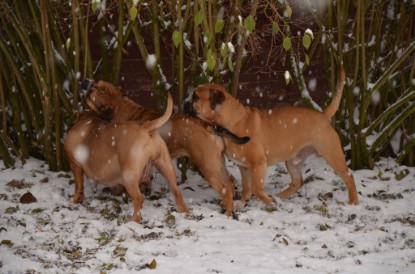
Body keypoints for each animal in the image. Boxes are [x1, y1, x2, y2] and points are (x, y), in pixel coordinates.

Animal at [64, 93, 188, 222]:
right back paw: (184, 212)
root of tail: (145, 127)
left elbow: (79, 185)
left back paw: (133, 220)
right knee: (176, 191)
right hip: (166, 166)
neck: (87, 119)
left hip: (129, 175)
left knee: (139, 198)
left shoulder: (75, 164)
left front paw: (75, 199)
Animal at [83, 80, 249, 215]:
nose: (88, 83)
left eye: (96, 91)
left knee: (224, 188)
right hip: (217, 162)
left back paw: (228, 212)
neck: (121, 107)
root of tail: (208, 125)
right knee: (230, 181)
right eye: (98, 83)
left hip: (207, 166)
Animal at [186, 68, 360, 208]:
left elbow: (256, 188)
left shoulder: (258, 164)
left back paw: (353, 201)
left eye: (195, 96)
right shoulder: (243, 167)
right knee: (297, 181)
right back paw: (280, 196)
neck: (231, 121)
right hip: (292, 161)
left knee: (349, 176)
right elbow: (246, 188)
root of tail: (323, 115)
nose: (185, 100)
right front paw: (242, 203)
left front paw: (268, 202)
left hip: (331, 153)